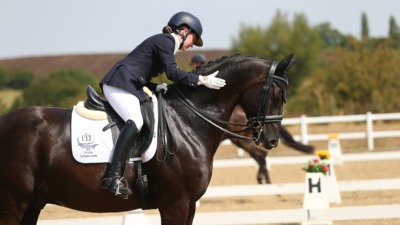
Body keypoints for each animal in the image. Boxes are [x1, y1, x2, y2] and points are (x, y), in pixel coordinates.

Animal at [0, 53, 294, 224]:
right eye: (277, 95)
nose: (271, 140)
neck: (188, 119)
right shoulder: (175, 203)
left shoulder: (189, 204)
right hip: (14, 203)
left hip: (32, 204)